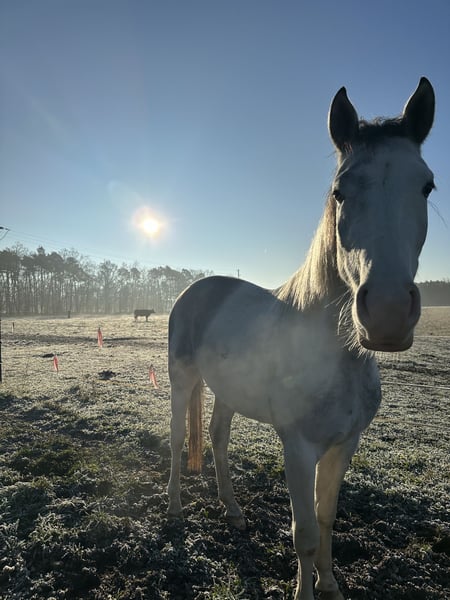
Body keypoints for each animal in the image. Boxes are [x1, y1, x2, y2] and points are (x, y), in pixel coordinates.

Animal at [167, 78, 435, 600]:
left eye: (426, 185)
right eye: (340, 191)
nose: (388, 312)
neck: (338, 357)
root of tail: (198, 288)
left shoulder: (344, 444)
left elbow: (327, 518)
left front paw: (330, 585)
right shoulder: (297, 447)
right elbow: (305, 533)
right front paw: (307, 588)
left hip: (227, 391)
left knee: (218, 439)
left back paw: (233, 511)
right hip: (181, 380)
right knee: (175, 437)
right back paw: (171, 509)